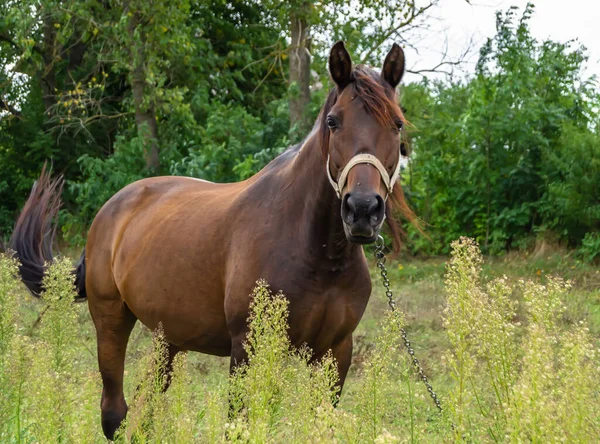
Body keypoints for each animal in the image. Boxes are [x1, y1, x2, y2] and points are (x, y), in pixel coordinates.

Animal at [11, 42, 418, 440]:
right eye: (334, 121)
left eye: (397, 124)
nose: (362, 209)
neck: (318, 253)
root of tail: (112, 209)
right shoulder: (247, 349)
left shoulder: (337, 352)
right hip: (110, 320)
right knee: (114, 413)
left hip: (169, 339)